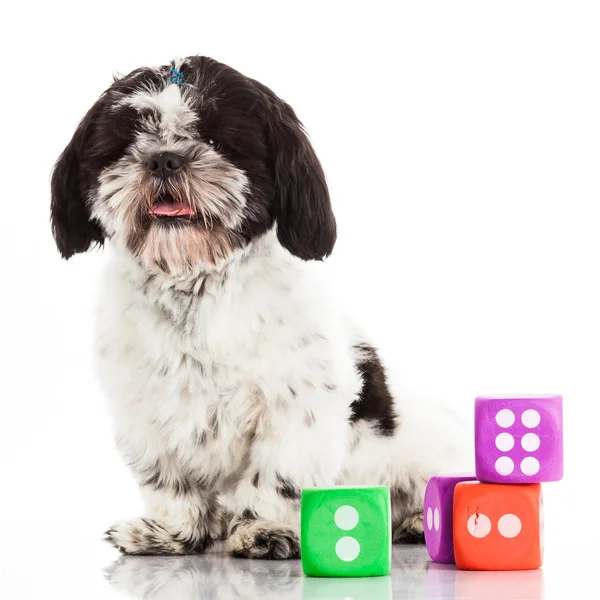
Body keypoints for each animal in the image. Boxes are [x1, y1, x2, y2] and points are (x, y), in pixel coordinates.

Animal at [50, 55, 464, 556]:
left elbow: (276, 477)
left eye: (214, 141)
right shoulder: (144, 412)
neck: (196, 288)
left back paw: (418, 522)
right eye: (130, 141)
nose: (164, 158)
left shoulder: (297, 408)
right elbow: (169, 482)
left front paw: (262, 529)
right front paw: (171, 533)